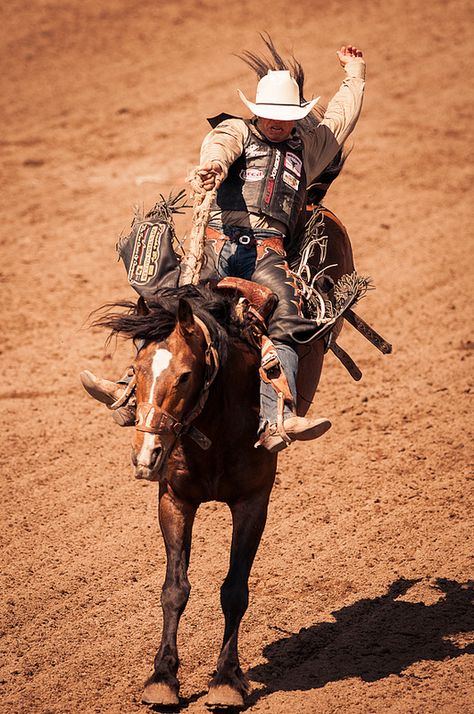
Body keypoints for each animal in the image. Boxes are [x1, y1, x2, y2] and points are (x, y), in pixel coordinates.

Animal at [97, 207, 356, 708]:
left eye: (184, 376)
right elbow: (174, 588)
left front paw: (227, 681)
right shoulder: (174, 499)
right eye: (136, 369)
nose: (146, 455)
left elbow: (234, 589)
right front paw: (162, 678)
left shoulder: (254, 501)